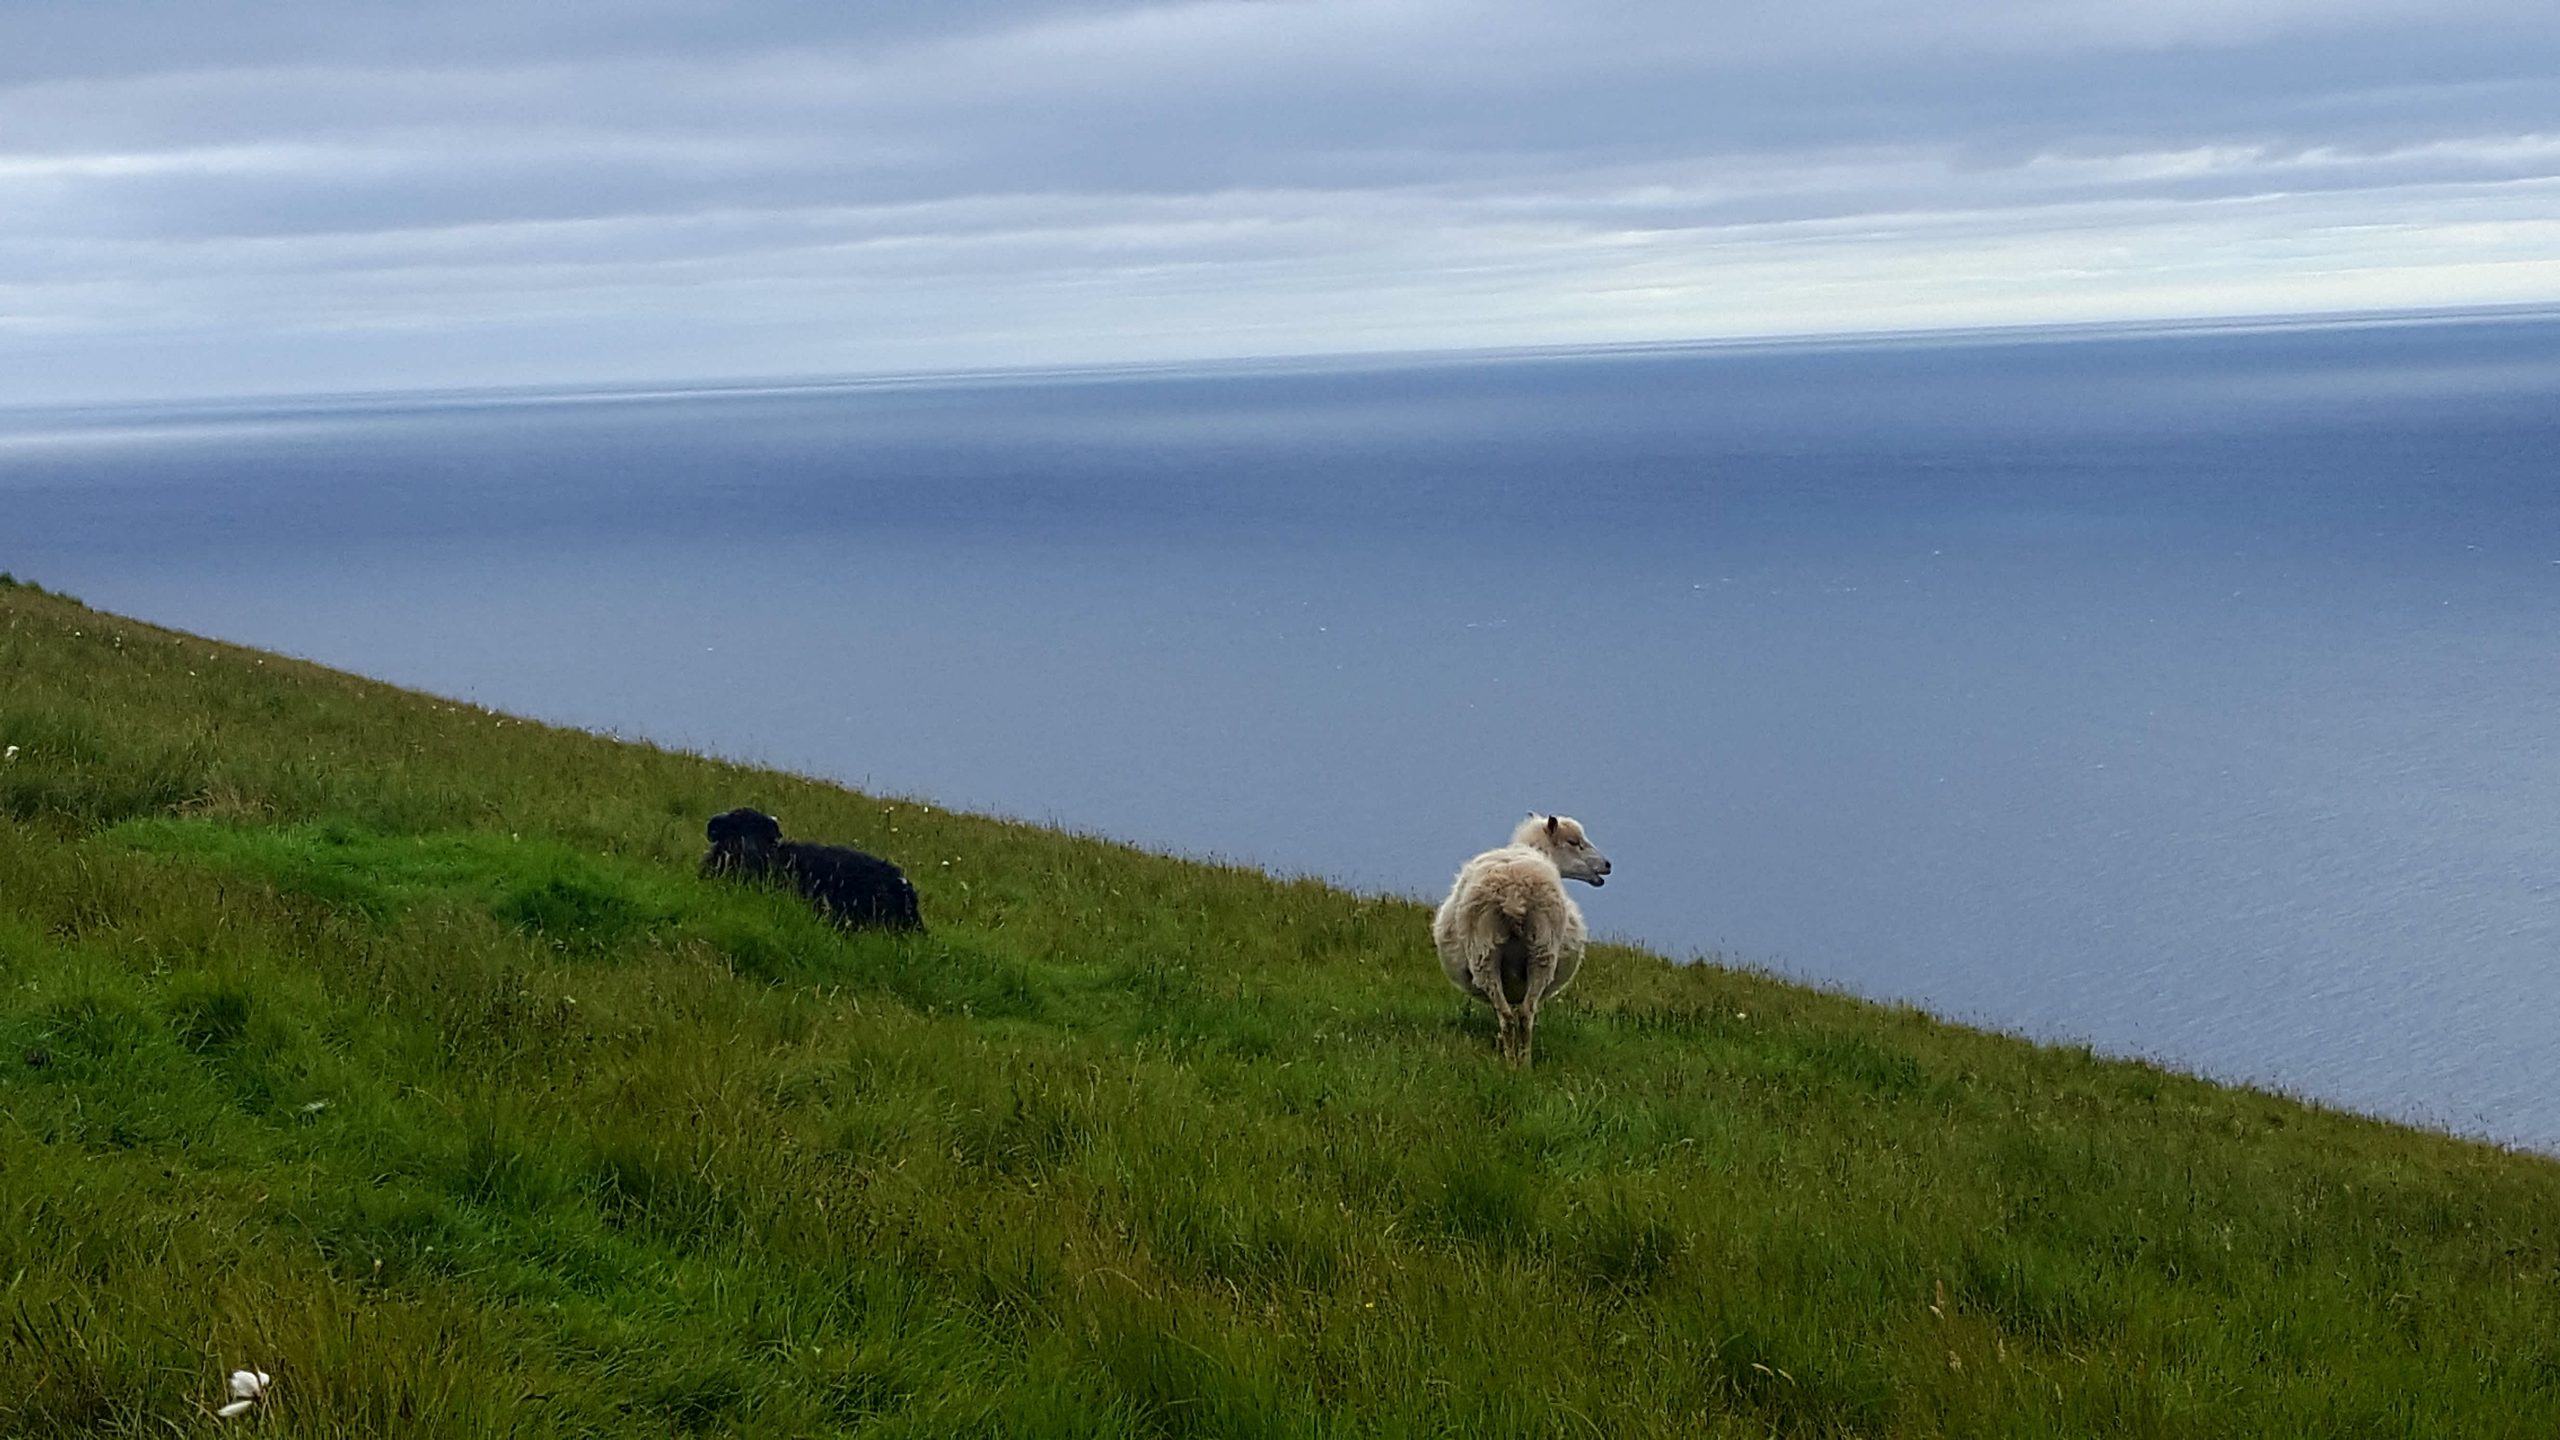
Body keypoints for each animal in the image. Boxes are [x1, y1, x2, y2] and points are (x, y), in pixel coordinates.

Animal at [1433, 814, 1607, 1060]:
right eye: (1574, 842)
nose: (1607, 865)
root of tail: (1513, 892)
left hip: (1486, 950)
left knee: (1509, 1015)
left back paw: (1515, 1061)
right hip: (1540, 948)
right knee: (1524, 1013)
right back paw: (1522, 1062)